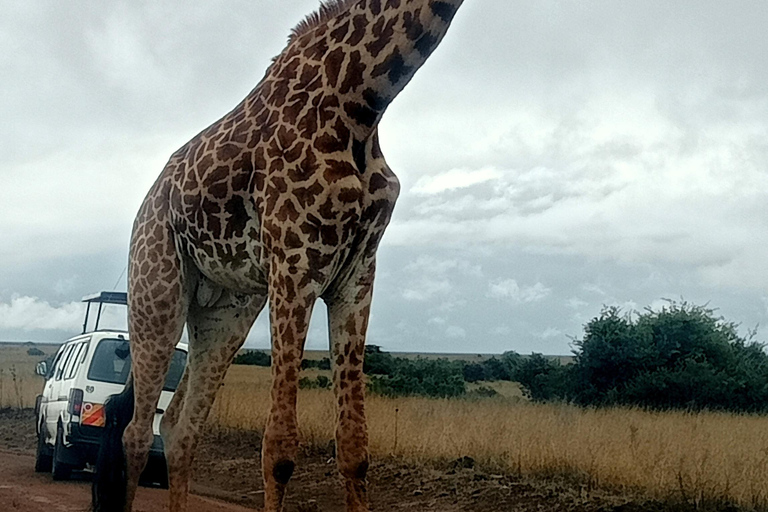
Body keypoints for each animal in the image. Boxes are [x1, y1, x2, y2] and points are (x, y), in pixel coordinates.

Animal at [90, 1, 462, 512]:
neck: (363, 101)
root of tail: (145, 206)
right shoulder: (294, 262)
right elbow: (280, 449)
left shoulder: (356, 276)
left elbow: (355, 448)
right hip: (156, 291)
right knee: (137, 433)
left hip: (227, 310)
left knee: (180, 428)